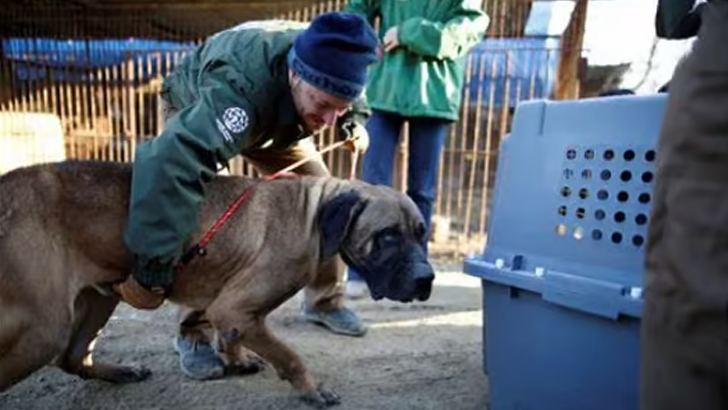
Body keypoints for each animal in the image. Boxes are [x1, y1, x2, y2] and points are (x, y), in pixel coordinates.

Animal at [0, 160, 432, 406]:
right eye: (388, 236)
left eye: (421, 232)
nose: (427, 278)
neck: (313, 212)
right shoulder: (234, 308)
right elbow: (288, 354)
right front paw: (311, 388)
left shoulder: (232, 310)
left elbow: (234, 335)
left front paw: (237, 359)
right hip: (43, 329)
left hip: (99, 297)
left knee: (73, 358)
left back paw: (120, 371)